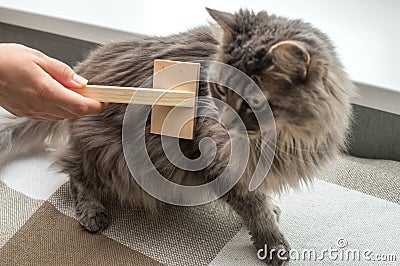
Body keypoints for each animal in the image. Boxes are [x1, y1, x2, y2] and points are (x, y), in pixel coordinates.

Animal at [1, 7, 354, 264]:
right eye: (218, 91)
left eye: (254, 103)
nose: (224, 120)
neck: (283, 140)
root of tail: (83, 72)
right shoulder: (219, 166)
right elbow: (254, 209)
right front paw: (272, 242)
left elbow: (261, 199)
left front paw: (272, 213)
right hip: (107, 154)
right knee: (73, 175)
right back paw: (92, 213)